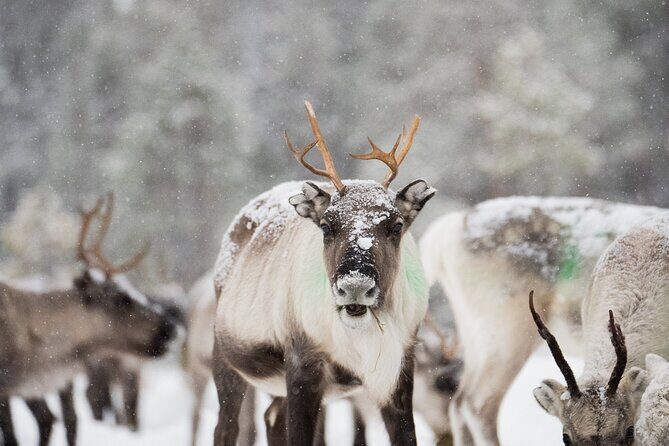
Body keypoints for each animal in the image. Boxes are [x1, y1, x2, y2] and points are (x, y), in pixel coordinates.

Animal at [211, 101, 435, 446]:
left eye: (396, 226)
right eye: (327, 226)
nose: (355, 286)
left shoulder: (401, 365)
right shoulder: (303, 362)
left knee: (271, 417)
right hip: (225, 359)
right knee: (226, 427)